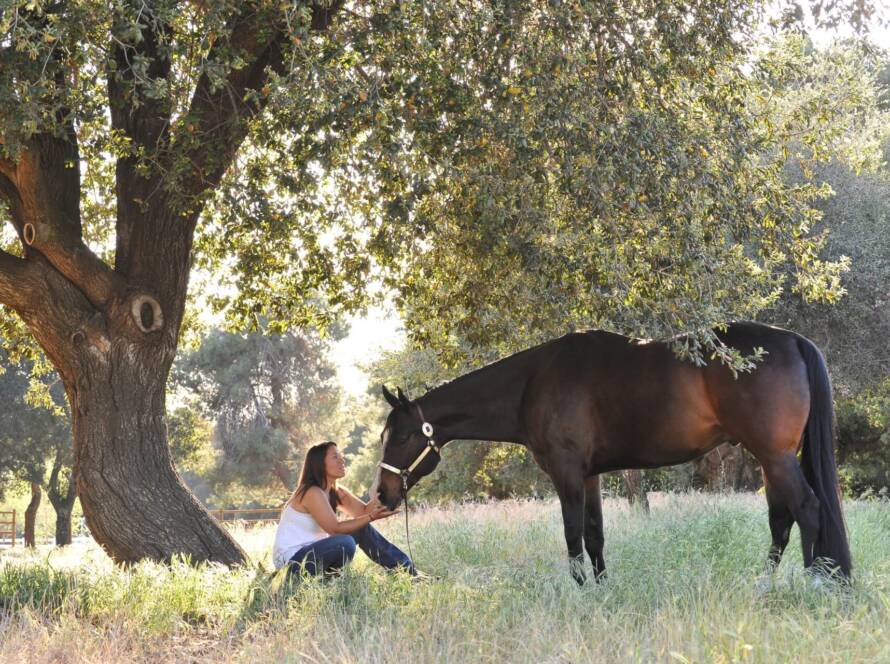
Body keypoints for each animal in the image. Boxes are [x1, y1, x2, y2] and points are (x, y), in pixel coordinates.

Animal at [372, 322, 848, 588]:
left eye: (401, 437)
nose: (382, 494)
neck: (531, 384)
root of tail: (792, 340)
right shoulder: (589, 475)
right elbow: (595, 534)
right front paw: (602, 589)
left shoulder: (566, 473)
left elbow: (572, 536)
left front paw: (581, 590)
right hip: (772, 460)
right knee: (781, 521)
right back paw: (765, 583)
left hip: (775, 457)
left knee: (807, 510)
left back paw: (812, 583)